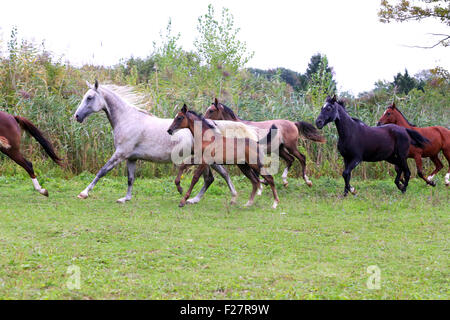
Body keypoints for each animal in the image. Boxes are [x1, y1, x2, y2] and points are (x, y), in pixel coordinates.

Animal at [74, 81, 256, 204]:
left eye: (89, 97)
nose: (77, 116)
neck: (128, 119)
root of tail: (214, 125)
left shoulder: (120, 154)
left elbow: (102, 171)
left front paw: (83, 193)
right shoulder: (131, 158)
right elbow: (130, 178)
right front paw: (126, 198)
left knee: (214, 177)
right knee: (214, 177)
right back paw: (202, 199)